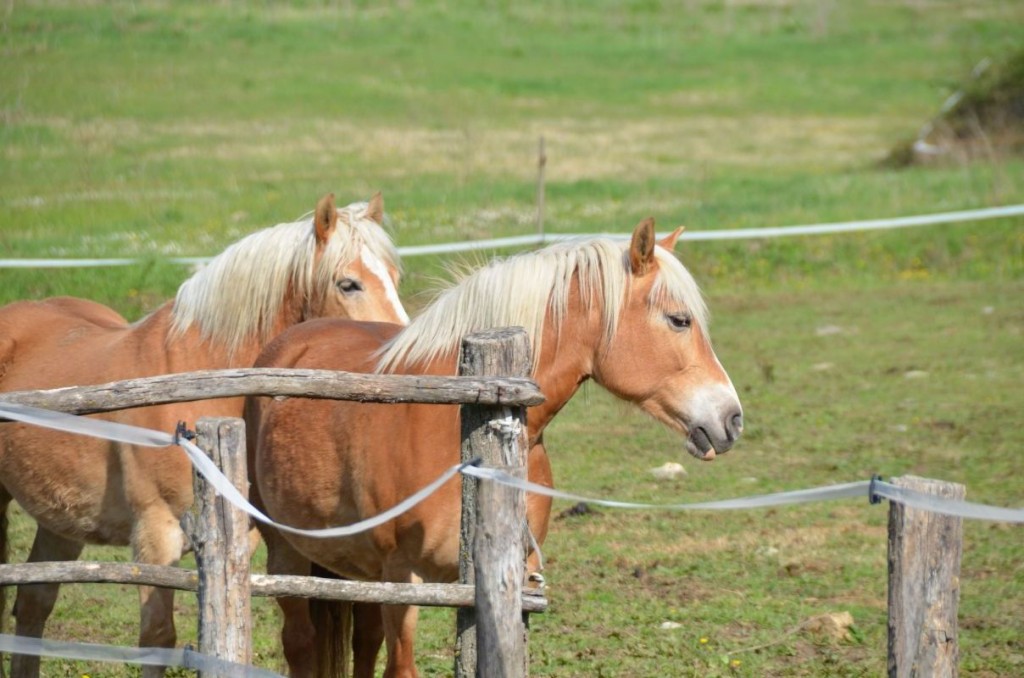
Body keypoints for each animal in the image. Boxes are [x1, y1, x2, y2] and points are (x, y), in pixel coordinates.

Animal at [0, 191, 407, 678]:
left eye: (396, 278)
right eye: (349, 284)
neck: (200, 380)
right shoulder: (155, 534)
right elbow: (158, 639)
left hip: (60, 519)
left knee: (33, 604)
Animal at [247, 219, 745, 678]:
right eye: (679, 320)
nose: (732, 419)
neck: (461, 418)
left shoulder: (510, 581)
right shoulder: (402, 580)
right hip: (288, 554)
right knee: (300, 643)